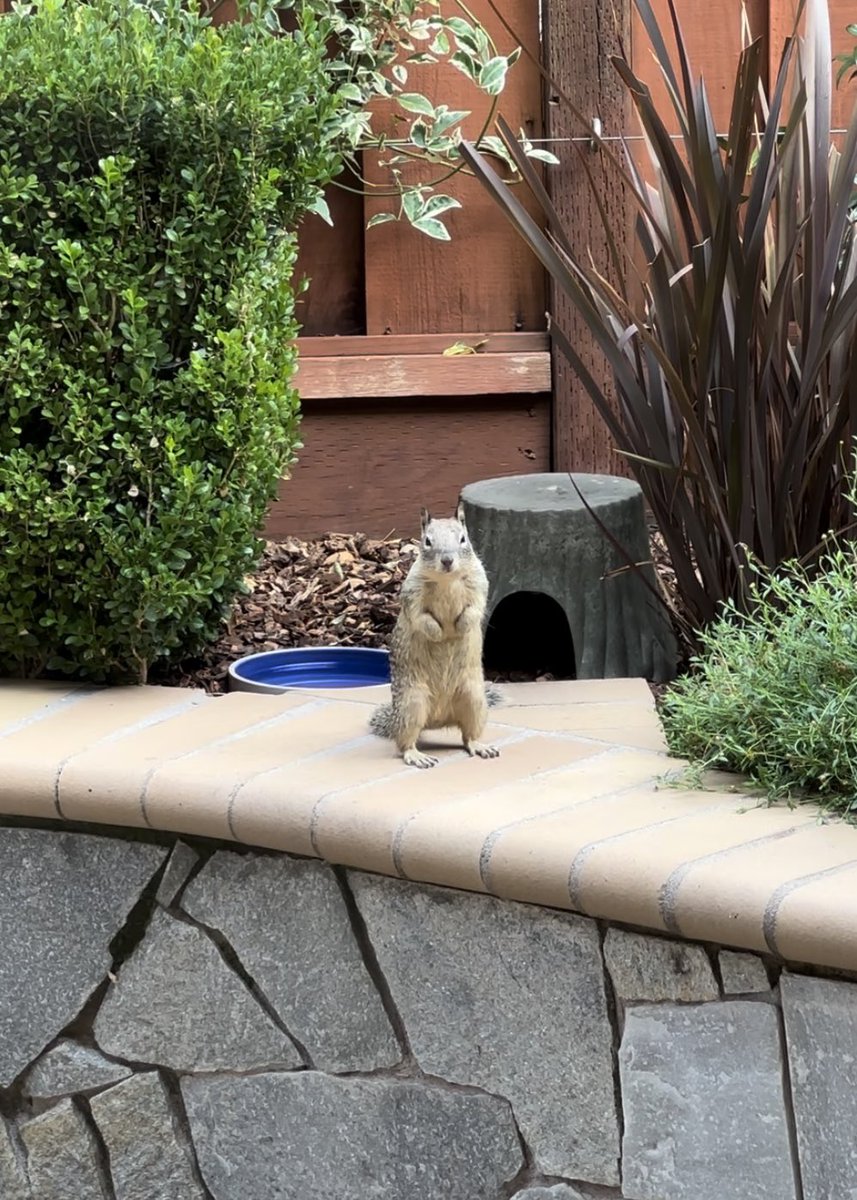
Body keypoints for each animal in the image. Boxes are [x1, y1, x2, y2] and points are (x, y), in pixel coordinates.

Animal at [370, 502, 501, 769]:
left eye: (463, 538)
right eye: (427, 541)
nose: (448, 560)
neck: (447, 579)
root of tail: (438, 720)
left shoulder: (479, 583)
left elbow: (475, 608)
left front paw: (461, 626)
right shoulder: (412, 593)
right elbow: (420, 617)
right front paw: (439, 634)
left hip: (475, 700)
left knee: (468, 735)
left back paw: (480, 746)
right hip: (412, 704)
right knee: (405, 741)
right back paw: (416, 755)